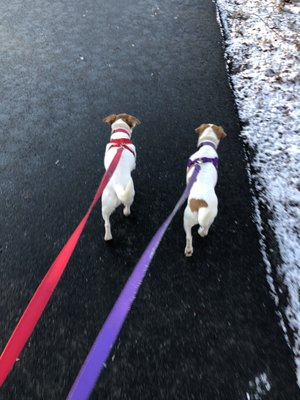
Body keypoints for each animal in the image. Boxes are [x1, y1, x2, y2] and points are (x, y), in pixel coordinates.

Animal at [184, 123, 226, 258]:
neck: (207, 147)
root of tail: (201, 203)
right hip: (209, 216)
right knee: (204, 229)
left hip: (187, 219)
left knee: (189, 235)